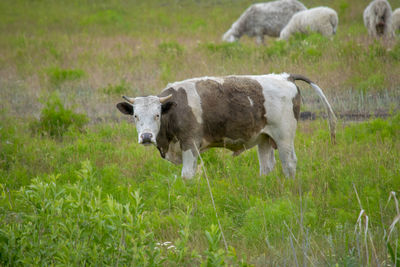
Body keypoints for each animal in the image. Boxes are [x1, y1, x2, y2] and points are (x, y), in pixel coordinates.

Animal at [117, 73, 336, 180]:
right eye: (135, 116)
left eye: (157, 115)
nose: (146, 137)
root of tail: (285, 76)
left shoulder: (190, 143)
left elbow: (187, 175)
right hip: (264, 138)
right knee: (266, 167)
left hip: (284, 137)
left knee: (289, 163)